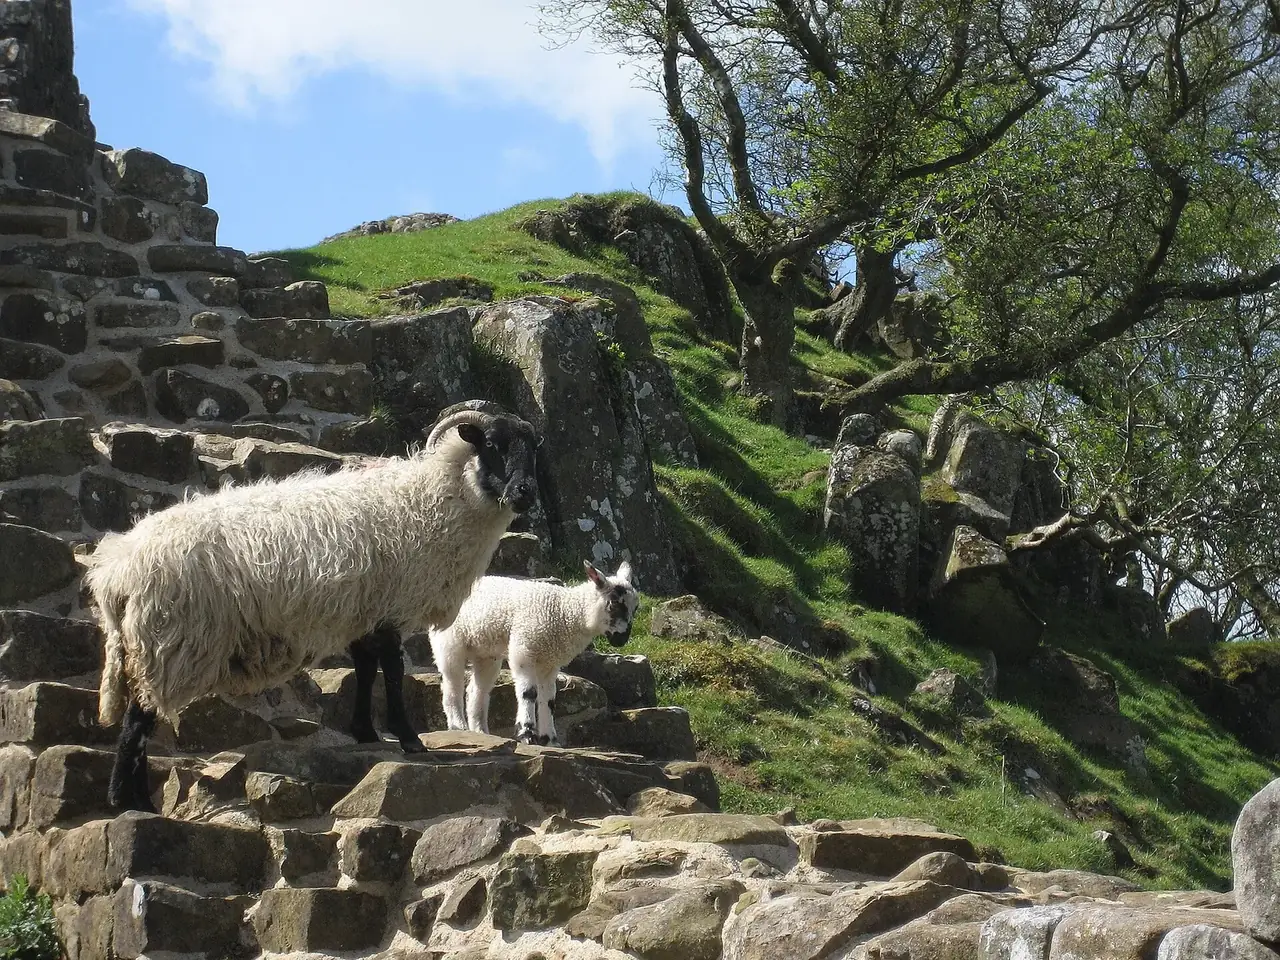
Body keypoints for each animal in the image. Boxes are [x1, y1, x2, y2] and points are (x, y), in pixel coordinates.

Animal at [86, 406, 539, 812]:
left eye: (532, 446)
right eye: (492, 444)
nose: (526, 493)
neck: (432, 499)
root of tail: (116, 571)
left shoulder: (365, 611)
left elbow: (365, 669)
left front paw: (365, 732)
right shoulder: (389, 605)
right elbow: (392, 672)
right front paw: (408, 738)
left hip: (149, 642)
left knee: (139, 714)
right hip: (171, 640)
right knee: (138, 721)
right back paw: (130, 801)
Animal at [428, 560, 639, 746]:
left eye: (635, 608)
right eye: (614, 603)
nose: (622, 640)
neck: (565, 612)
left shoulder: (549, 663)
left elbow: (549, 700)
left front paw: (550, 740)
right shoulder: (524, 650)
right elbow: (529, 693)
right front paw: (527, 734)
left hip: (486, 652)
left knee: (477, 689)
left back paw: (480, 731)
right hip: (449, 642)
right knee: (451, 684)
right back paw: (458, 726)